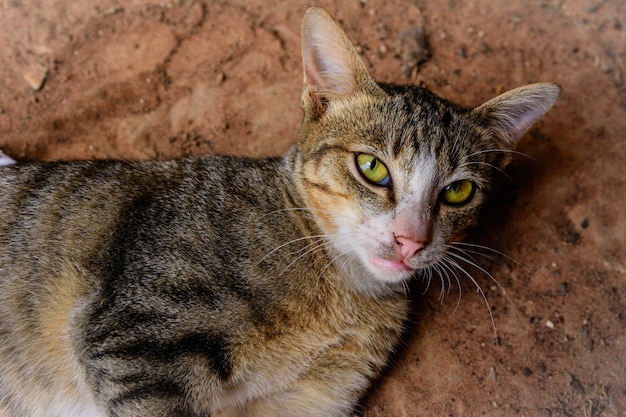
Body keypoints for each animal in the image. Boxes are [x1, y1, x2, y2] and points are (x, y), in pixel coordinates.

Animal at [0, 6, 556, 416]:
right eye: (372, 167)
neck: (341, 287)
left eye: (459, 192)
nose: (411, 239)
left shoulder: (309, 397)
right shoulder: (136, 341)